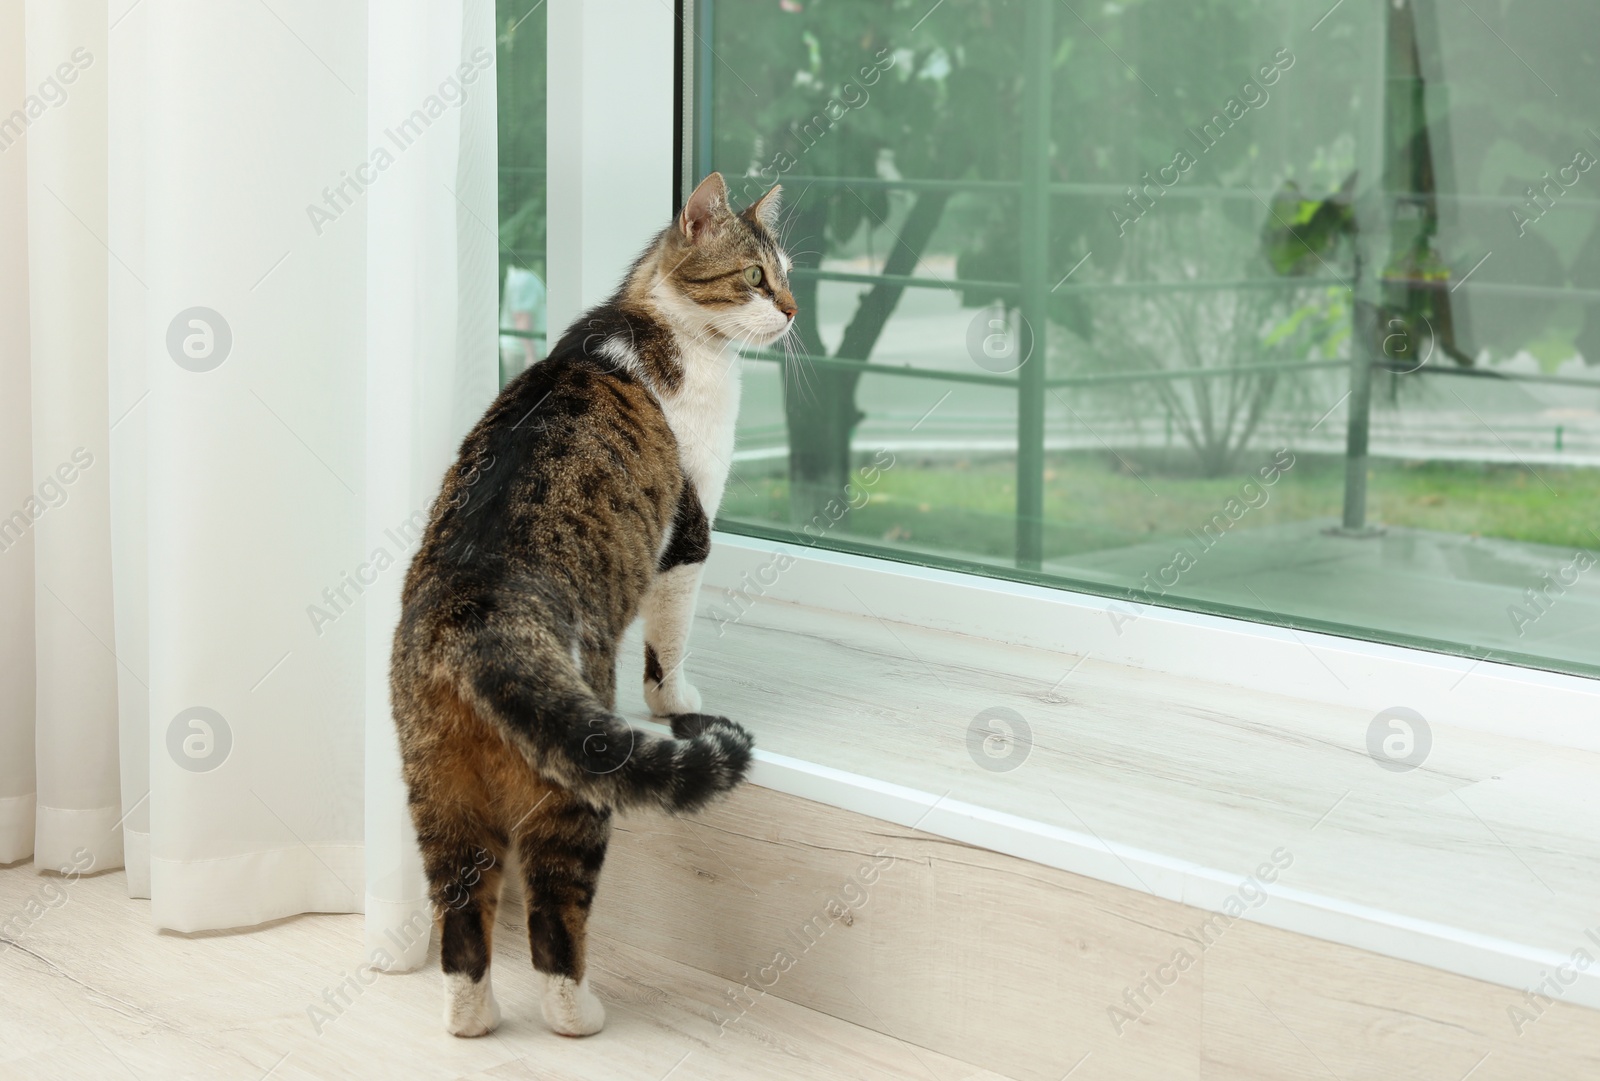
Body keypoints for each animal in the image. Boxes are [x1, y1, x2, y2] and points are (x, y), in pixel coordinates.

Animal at [390, 175, 796, 1036]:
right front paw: (678, 699)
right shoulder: (687, 534)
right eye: (754, 276)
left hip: (437, 788)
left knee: (462, 920)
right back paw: (577, 1013)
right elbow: (669, 643)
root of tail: (479, 621)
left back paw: (471, 1020)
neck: (666, 325)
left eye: (786, 272)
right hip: (571, 787)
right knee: (554, 911)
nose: (793, 309)